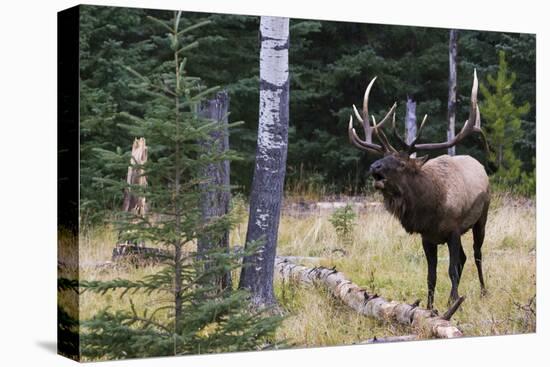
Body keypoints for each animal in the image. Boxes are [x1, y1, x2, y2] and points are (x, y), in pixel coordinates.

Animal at [350, 70, 492, 310]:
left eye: (401, 163)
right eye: (384, 157)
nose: (374, 167)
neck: (432, 209)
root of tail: (480, 166)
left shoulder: (454, 230)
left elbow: (451, 269)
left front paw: (454, 303)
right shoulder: (428, 237)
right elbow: (431, 276)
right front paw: (430, 307)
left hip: (482, 216)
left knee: (477, 254)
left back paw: (483, 291)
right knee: (464, 258)